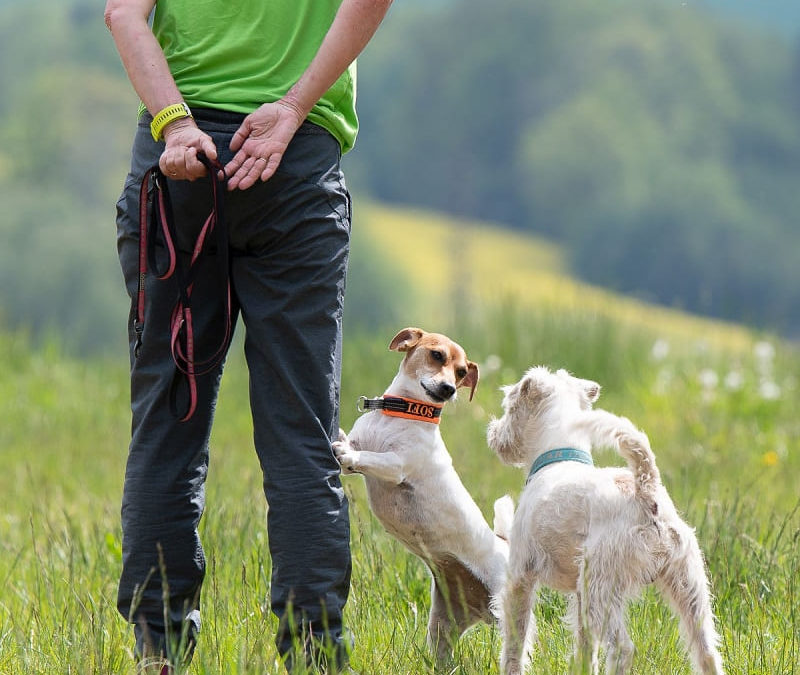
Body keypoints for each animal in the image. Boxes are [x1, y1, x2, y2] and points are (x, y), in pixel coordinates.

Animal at [332, 330, 512, 664]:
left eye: (462, 372)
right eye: (437, 355)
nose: (448, 389)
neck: (400, 414)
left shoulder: (397, 465)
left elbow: (368, 457)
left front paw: (347, 454)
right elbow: (352, 442)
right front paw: (339, 439)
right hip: (442, 626)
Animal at [488, 368, 724, 675]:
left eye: (509, 405)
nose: (493, 433)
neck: (558, 454)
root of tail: (646, 492)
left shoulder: (520, 576)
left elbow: (516, 640)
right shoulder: (577, 593)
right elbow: (585, 648)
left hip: (602, 589)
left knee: (623, 648)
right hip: (688, 587)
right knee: (706, 652)